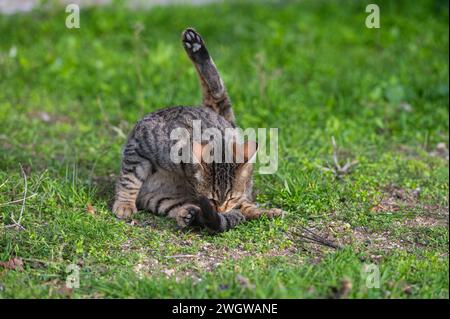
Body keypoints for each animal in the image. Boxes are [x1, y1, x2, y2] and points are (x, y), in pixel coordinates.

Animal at [111, 28, 282, 232]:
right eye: (212, 199)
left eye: (231, 198)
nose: (221, 210)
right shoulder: (139, 145)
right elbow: (130, 179)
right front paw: (124, 204)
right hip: (158, 197)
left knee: (246, 208)